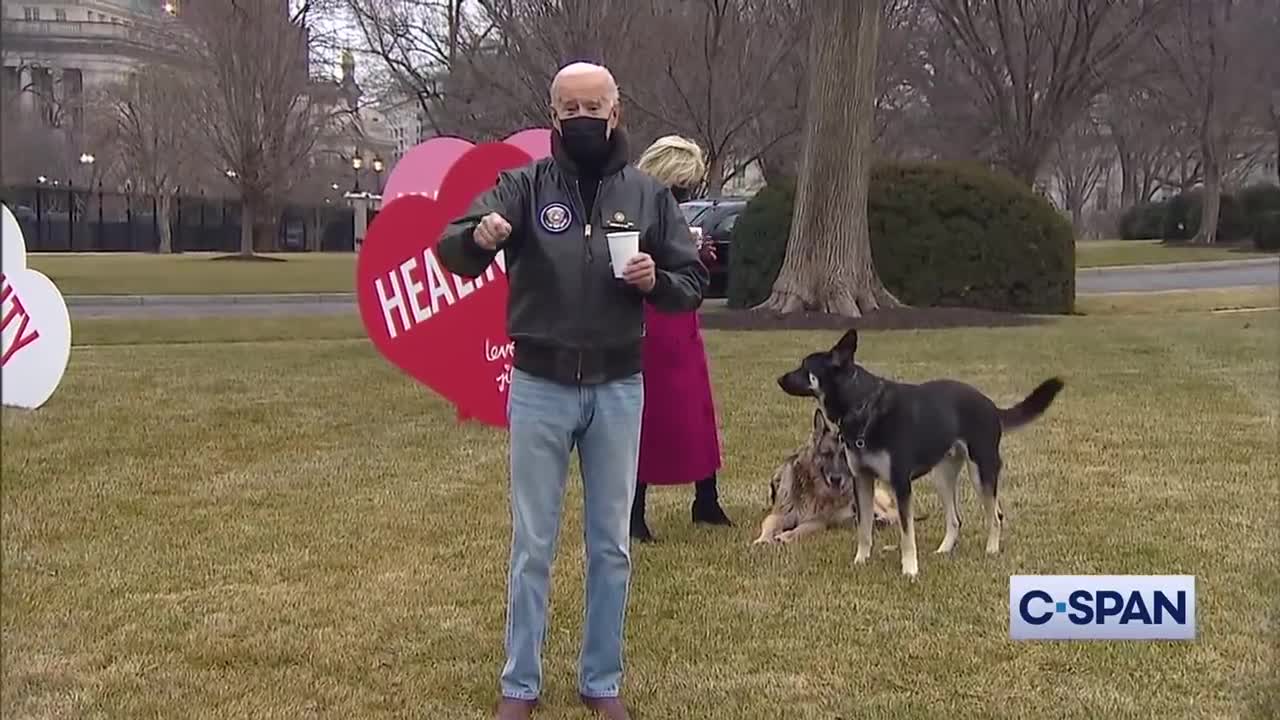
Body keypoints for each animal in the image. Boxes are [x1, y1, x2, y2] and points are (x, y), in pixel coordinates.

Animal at [778, 326, 1059, 576]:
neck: (862, 405)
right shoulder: (862, 481)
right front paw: (861, 561)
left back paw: (991, 550)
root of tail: (991, 406)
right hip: (942, 476)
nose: (779, 379)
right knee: (955, 519)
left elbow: (906, 533)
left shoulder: (901, 485)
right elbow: (864, 528)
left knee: (996, 515)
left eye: (805, 368)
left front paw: (910, 569)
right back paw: (944, 550)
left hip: (982, 472)